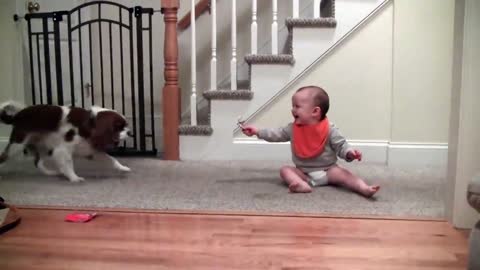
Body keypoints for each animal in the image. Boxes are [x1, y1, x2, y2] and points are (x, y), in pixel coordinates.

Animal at [0, 102, 131, 182]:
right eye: (119, 127)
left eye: (126, 125)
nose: (130, 132)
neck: (88, 123)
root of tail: (17, 115)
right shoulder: (63, 150)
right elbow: (67, 165)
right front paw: (74, 178)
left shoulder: (89, 150)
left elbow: (111, 159)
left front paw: (122, 168)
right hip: (17, 144)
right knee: (4, 156)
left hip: (42, 146)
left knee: (38, 162)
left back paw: (49, 173)